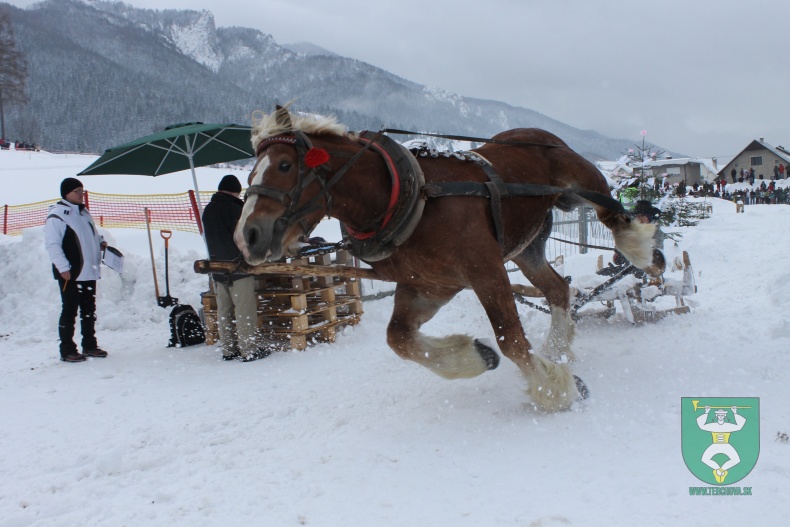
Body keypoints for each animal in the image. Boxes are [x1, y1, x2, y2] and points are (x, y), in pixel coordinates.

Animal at [234, 106, 664, 412]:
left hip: (583, 187)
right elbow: (399, 339)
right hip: (527, 248)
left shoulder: (486, 271)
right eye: (250, 173)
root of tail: (538, 134)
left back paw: (646, 253)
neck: (408, 198)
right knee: (558, 288)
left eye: (285, 165)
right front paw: (477, 357)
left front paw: (555, 390)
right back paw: (557, 348)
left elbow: (511, 340)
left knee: (614, 216)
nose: (246, 236)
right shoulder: (429, 285)